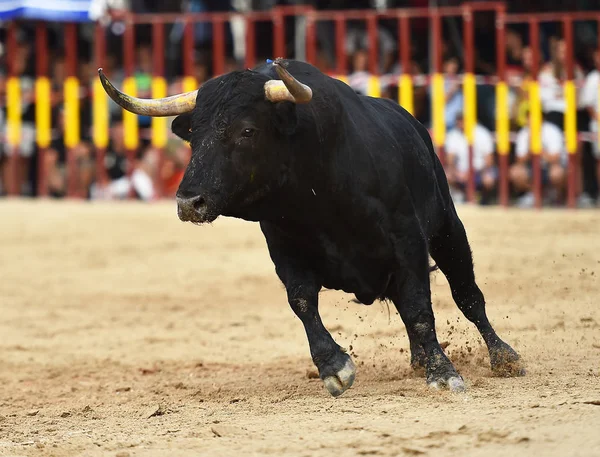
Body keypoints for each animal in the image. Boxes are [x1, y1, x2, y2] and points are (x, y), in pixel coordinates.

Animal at [101, 58, 524, 398]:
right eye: (194, 135)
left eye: (247, 131)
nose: (190, 202)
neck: (316, 191)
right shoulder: (284, 248)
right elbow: (302, 302)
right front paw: (334, 367)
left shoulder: (407, 239)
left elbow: (421, 306)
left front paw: (443, 373)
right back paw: (420, 360)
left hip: (448, 227)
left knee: (467, 295)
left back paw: (503, 357)